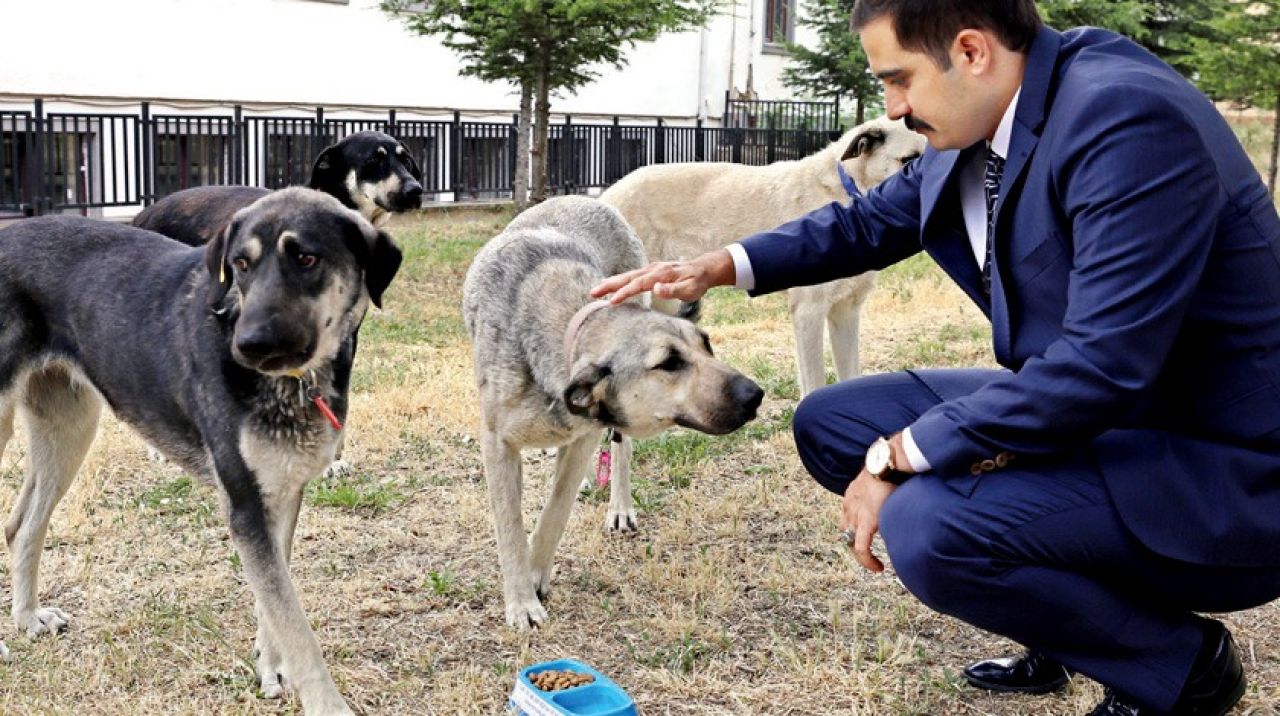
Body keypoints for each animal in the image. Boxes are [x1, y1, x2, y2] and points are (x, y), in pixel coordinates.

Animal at [0, 188, 399, 712]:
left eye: (307, 259)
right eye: (241, 264)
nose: (246, 346)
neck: (294, 383)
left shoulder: (279, 494)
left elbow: (275, 600)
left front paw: (269, 666)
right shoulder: (246, 505)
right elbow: (296, 625)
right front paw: (326, 704)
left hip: (69, 427)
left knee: (23, 525)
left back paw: (27, 618)